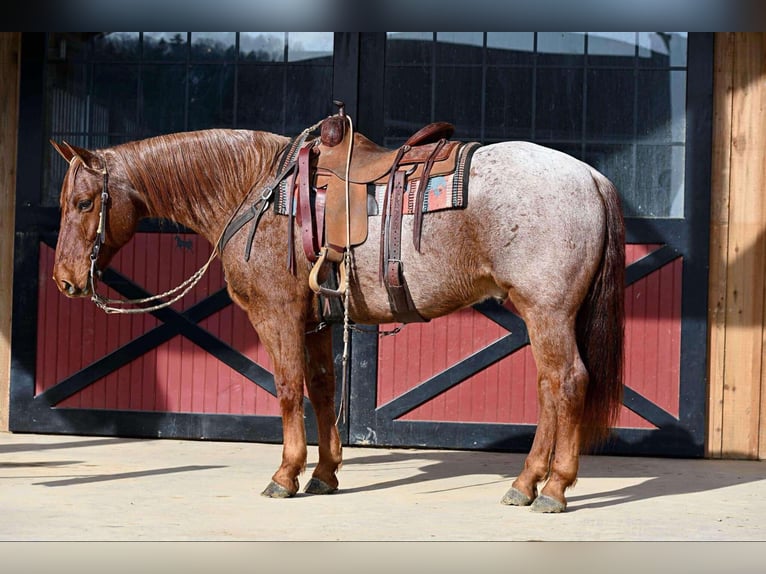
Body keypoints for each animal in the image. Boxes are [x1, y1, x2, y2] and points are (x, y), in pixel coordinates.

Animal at [51, 119, 624, 516]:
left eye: (83, 202)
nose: (65, 280)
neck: (257, 192)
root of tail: (591, 177)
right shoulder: (316, 322)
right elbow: (324, 388)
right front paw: (324, 474)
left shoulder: (277, 315)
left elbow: (287, 388)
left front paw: (285, 475)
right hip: (541, 314)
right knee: (549, 388)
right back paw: (526, 485)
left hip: (547, 311)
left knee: (568, 383)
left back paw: (552, 489)